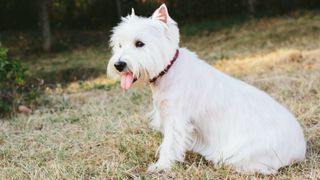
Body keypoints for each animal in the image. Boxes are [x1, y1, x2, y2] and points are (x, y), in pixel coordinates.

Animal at [107, 3, 304, 174]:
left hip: (246, 151)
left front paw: (161, 166)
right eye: (119, 45)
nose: (118, 65)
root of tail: (300, 149)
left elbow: (169, 144)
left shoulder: (176, 119)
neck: (168, 71)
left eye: (139, 43)